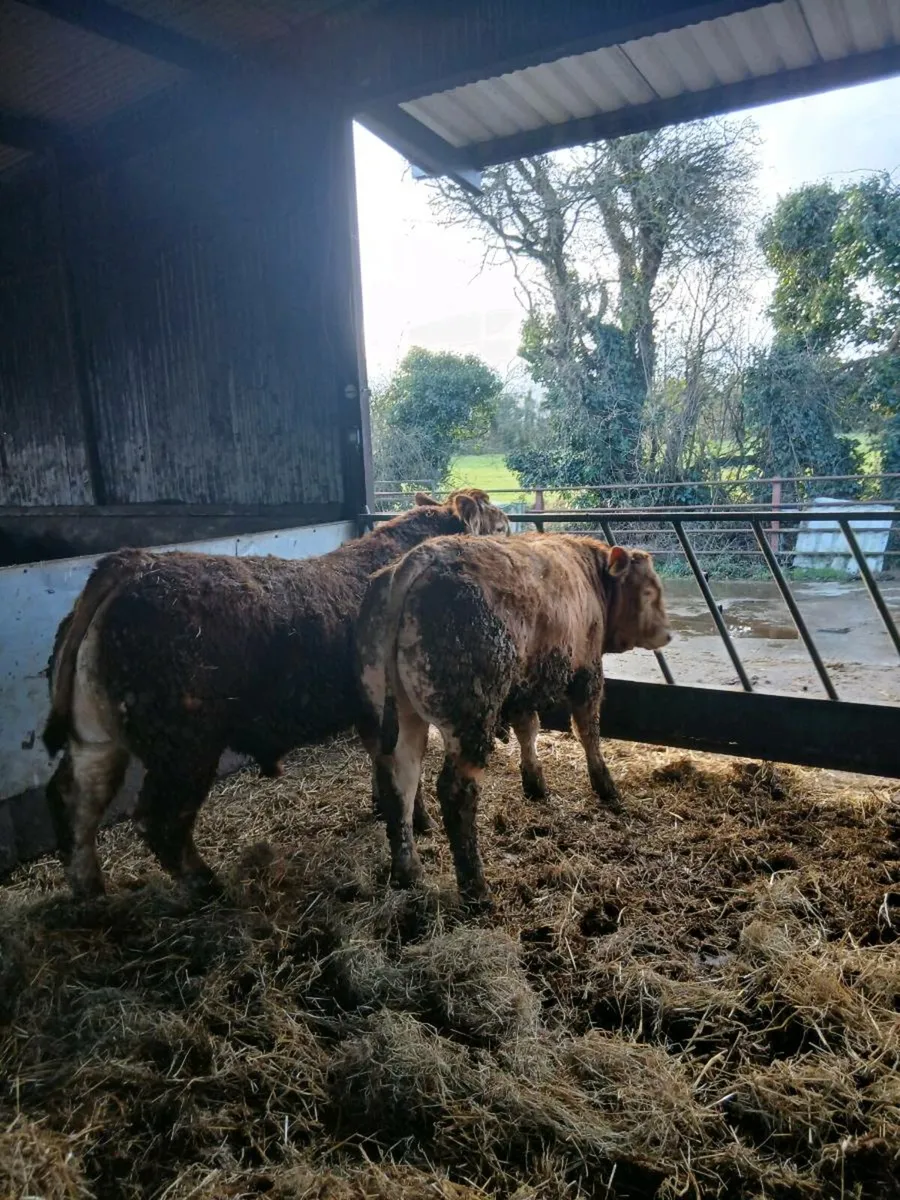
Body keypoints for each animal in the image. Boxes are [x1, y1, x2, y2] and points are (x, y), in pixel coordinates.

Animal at [42, 489, 509, 899]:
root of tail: (131, 563)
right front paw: (420, 821)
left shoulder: (373, 718)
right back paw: (209, 886)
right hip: (185, 749)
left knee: (74, 803)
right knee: (161, 822)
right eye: (502, 527)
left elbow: (384, 767)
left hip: (95, 739)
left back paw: (92, 894)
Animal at [356, 532, 671, 907]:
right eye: (649, 591)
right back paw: (476, 889)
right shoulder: (588, 672)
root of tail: (416, 560)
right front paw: (605, 785)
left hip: (398, 717)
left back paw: (409, 872)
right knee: (455, 791)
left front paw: (535, 783)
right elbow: (588, 731)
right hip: (470, 720)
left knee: (399, 781)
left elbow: (528, 730)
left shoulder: (522, 690)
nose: (667, 633)